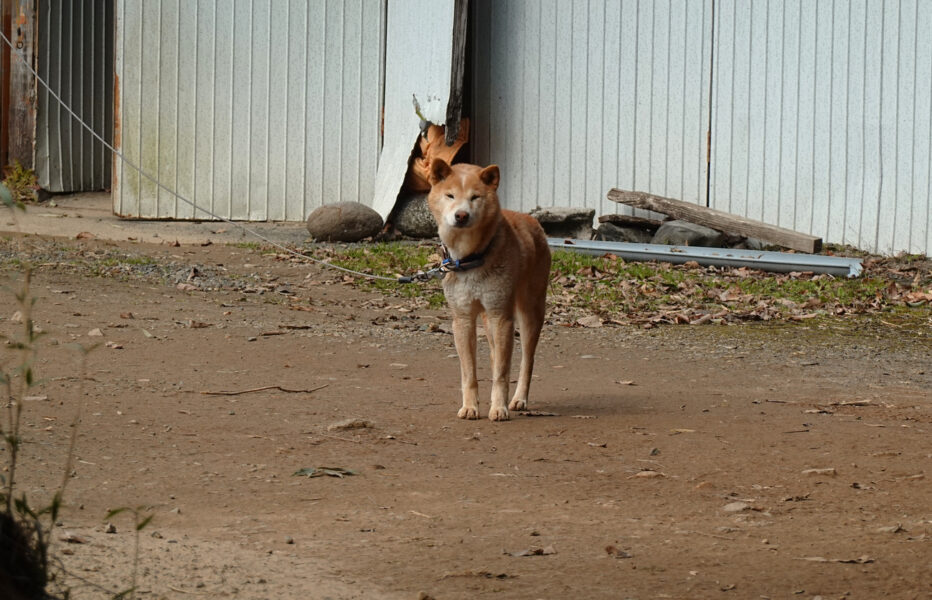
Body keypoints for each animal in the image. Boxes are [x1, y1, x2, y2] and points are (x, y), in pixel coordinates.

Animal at [426, 159, 548, 422]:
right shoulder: (462, 319)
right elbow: (469, 374)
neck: (468, 258)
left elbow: (501, 373)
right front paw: (470, 407)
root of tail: (530, 219)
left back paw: (518, 399)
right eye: (450, 195)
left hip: (528, 313)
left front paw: (499, 408)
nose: (461, 215)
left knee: (527, 360)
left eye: (475, 197)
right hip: (488, 319)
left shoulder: (501, 316)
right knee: (495, 355)